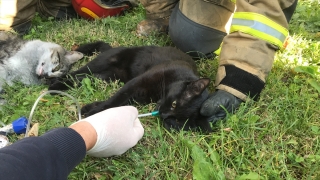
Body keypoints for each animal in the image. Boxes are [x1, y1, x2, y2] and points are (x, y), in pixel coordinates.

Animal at [48, 41, 212, 132]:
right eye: (174, 104)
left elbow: (116, 103)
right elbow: (114, 100)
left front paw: (90, 109)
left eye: (177, 121)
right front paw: (93, 114)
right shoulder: (138, 82)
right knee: (75, 73)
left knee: (81, 78)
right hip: (101, 63)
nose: (163, 114)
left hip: (107, 77)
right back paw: (53, 85)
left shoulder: (139, 95)